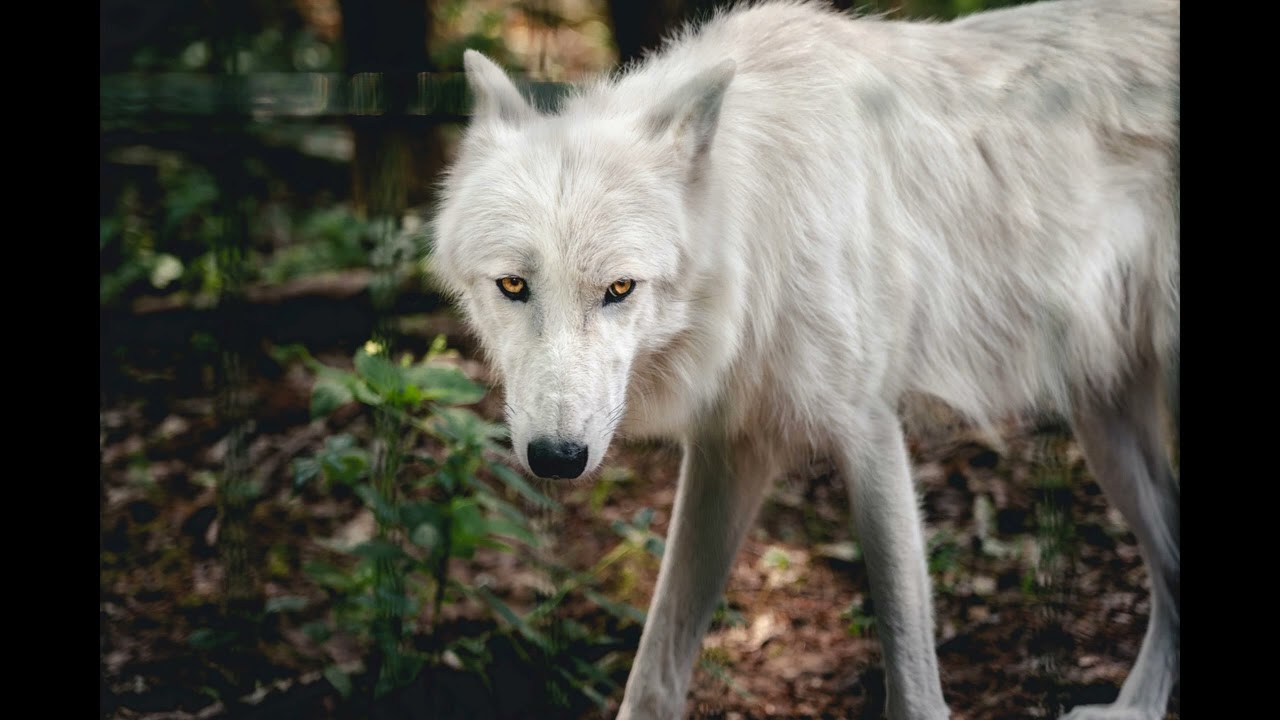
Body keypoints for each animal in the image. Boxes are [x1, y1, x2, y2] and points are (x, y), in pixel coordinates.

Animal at [429, 0, 1179, 717]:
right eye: (513, 286)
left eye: (619, 289)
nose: (557, 458)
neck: (761, 229)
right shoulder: (729, 448)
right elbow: (654, 678)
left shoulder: (870, 434)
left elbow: (913, 686)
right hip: (1103, 423)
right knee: (1171, 562)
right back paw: (1133, 710)